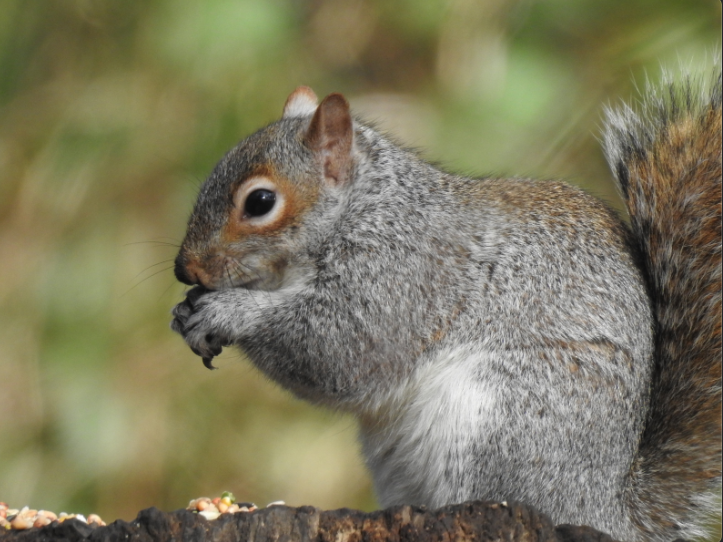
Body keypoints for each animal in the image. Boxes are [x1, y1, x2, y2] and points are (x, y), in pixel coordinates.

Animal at [170, 67, 721, 541]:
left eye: (260, 202)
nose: (184, 270)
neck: (366, 208)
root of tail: (607, 510)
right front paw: (185, 311)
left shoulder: (403, 279)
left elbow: (338, 351)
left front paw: (227, 311)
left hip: (507, 417)